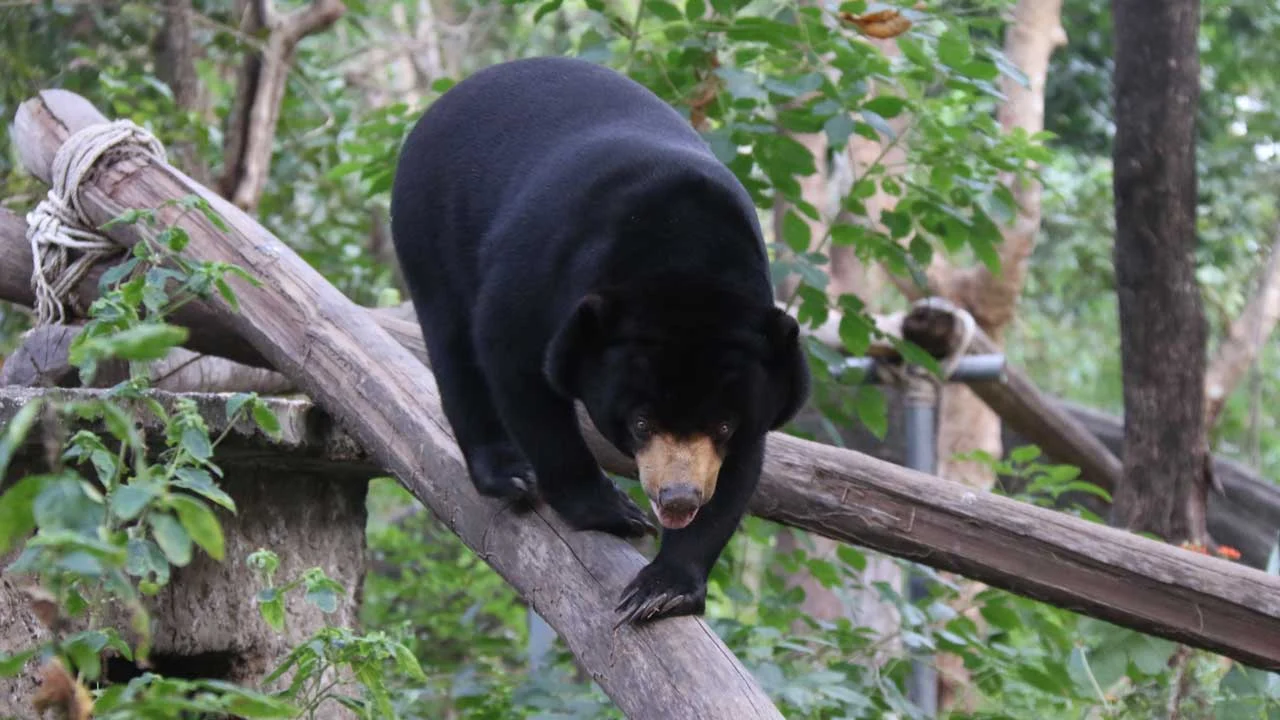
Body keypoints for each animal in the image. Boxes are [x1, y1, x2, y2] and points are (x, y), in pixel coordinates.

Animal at [389, 56, 810, 624]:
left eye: (722, 424)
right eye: (641, 422)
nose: (678, 500)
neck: (685, 261)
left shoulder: (758, 365)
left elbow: (741, 468)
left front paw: (664, 587)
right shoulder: (540, 276)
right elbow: (516, 368)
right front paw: (615, 513)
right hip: (428, 222)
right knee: (454, 345)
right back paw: (507, 475)